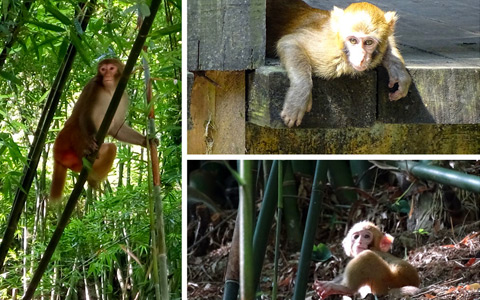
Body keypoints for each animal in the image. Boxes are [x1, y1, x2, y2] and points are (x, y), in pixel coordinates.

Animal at [49, 58, 148, 202]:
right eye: (103, 69)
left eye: (111, 68)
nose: (107, 75)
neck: (110, 90)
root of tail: (57, 152)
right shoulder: (93, 87)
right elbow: (85, 115)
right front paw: (90, 141)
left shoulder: (123, 96)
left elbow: (117, 128)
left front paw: (146, 141)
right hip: (70, 138)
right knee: (81, 129)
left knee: (110, 148)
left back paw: (92, 179)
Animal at [266, 0, 412, 126]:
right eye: (353, 40)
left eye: (369, 42)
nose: (361, 58)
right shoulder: (326, 51)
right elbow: (289, 42)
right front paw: (299, 96)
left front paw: (399, 71)